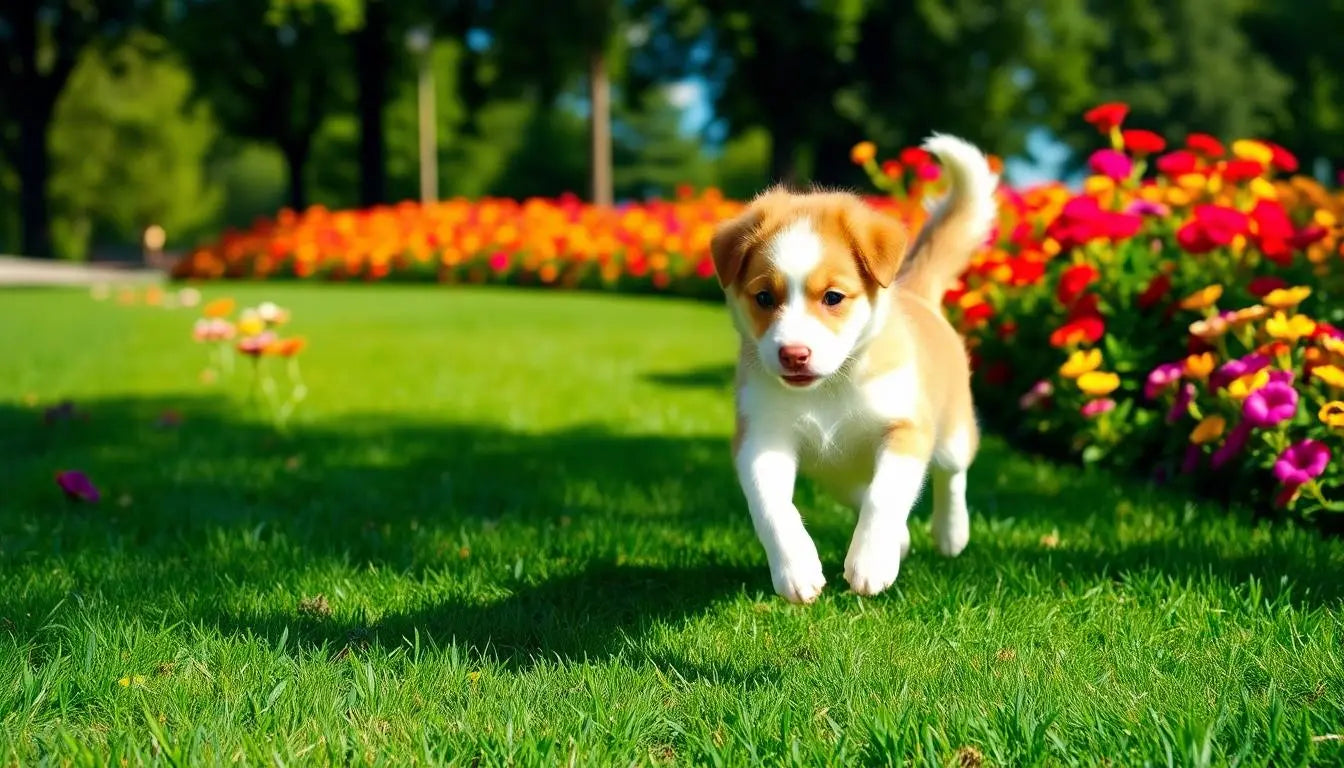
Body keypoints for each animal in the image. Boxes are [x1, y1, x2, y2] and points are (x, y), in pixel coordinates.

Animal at [715, 138, 999, 607]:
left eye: (833, 297)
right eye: (763, 298)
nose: (794, 355)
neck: (832, 385)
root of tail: (915, 290)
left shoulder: (906, 429)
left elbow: (886, 495)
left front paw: (871, 564)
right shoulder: (761, 438)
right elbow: (772, 506)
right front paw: (796, 570)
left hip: (953, 429)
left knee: (951, 474)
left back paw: (950, 532)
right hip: (835, 475)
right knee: (860, 490)